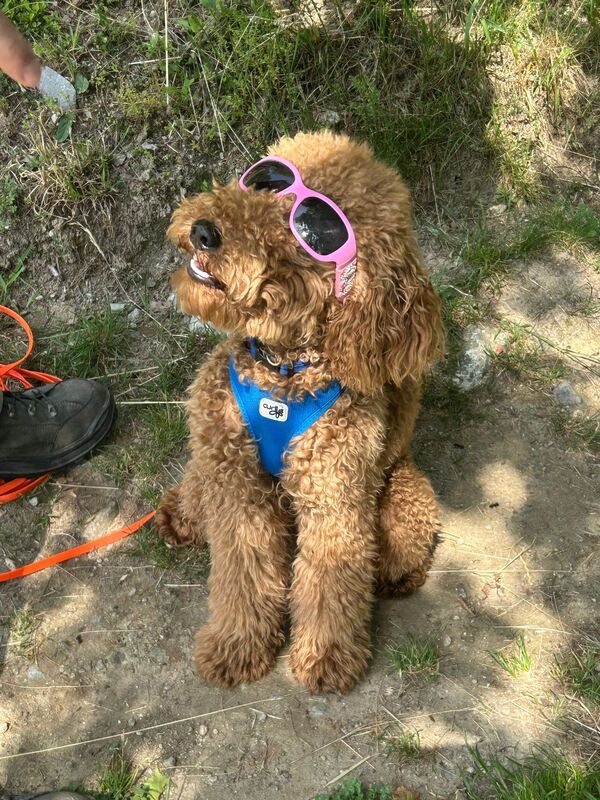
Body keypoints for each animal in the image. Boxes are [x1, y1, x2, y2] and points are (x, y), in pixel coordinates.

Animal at [156, 131, 444, 694]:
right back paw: (178, 516)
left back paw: (399, 576)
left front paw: (326, 656)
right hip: (211, 467)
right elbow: (241, 571)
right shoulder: (236, 485)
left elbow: (332, 579)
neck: (282, 372)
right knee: (196, 494)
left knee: (397, 550)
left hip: (405, 493)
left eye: (311, 235)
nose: (205, 232)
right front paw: (238, 644)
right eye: (267, 180)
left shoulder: (334, 496)